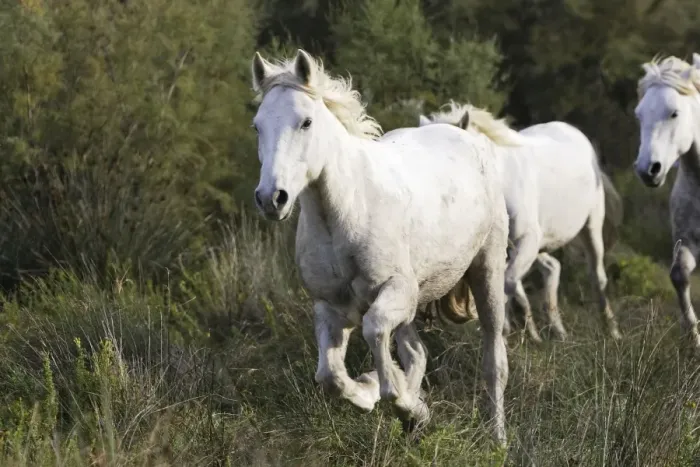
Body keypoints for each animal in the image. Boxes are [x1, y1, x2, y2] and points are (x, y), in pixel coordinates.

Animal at [250, 49, 510, 443]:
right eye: (257, 126)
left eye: (306, 122)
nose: (271, 198)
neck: (347, 212)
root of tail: (465, 135)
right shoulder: (330, 306)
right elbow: (330, 376)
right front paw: (386, 397)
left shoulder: (395, 290)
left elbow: (373, 331)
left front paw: (397, 398)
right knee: (416, 351)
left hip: (486, 271)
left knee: (494, 360)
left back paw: (498, 440)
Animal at [419, 102, 624, 342]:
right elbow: (510, 285)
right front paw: (523, 334)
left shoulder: (527, 240)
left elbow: (507, 283)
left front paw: (507, 332)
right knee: (553, 268)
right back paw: (557, 332)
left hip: (591, 226)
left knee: (597, 276)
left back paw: (612, 331)